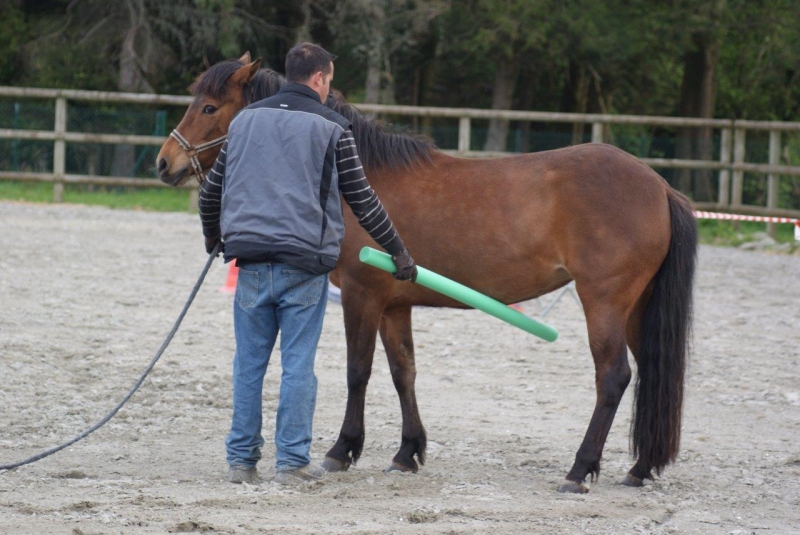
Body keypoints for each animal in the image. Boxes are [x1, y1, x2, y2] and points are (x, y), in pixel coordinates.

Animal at [156, 54, 692, 494]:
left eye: (209, 107)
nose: (165, 162)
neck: (361, 173)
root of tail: (658, 185)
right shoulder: (395, 306)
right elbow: (403, 373)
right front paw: (407, 452)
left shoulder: (362, 298)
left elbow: (358, 372)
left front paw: (341, 450)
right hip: (636, 308)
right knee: (649, 372)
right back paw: (640, 468)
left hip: (603, 302)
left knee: (614, 378)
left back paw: (579, 471)